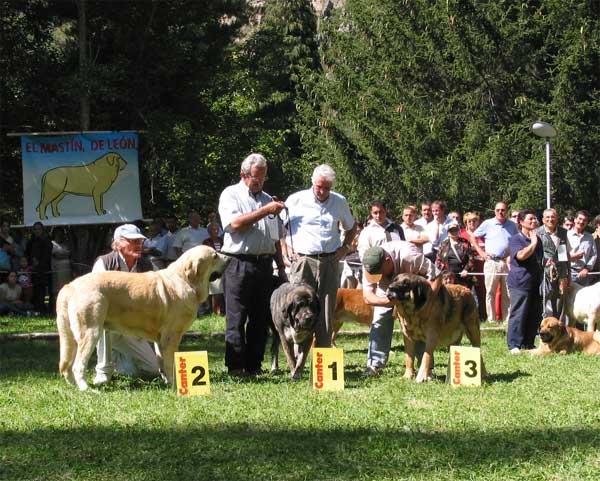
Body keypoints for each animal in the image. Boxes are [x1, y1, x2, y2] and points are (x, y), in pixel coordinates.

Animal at [55, 246, 229, 388]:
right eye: (215, 256)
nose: (229, 258)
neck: (186, 280)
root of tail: (69, 286)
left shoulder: (161, 339)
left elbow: (162, 361)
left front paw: (167, 382)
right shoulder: (171, 336)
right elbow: (170, 362)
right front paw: (175, 384)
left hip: (72, 337)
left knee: (67, 365)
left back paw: (74, 386)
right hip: (91, 331)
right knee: (78, 365)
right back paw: (87, 389)